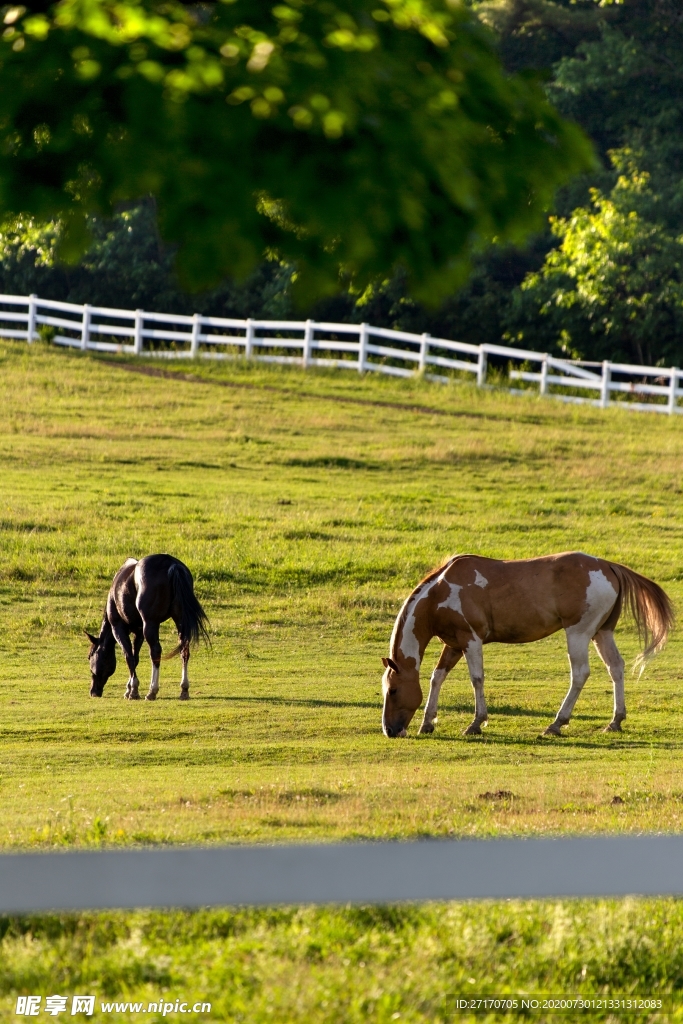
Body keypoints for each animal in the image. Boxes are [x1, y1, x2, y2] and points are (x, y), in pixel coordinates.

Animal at [87, 557, 208, 700]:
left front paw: (132, 690)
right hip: (180, 621)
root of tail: (172, 565)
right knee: (184, 650)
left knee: (155, 652)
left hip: (150, 624)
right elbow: (136, 658)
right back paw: (184, 689)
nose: (93, 692)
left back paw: (152, 691)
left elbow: (129, 656)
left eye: (90, 656)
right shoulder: (139, 632)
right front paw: (130, 688)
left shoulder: (118, 628)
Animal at [382, 557, 675, 741]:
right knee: (616, 667)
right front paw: (427, 723)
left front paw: (476, 723)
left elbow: (476, 679)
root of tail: (608, 566)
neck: (439, 593)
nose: (389, 730)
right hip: (601, 633)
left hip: (578, 633)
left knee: (580, 674)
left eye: (393, 690)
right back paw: (615, 721)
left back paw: (556, 724)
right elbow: (437, 677)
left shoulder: (470, 640)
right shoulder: (453, 644)